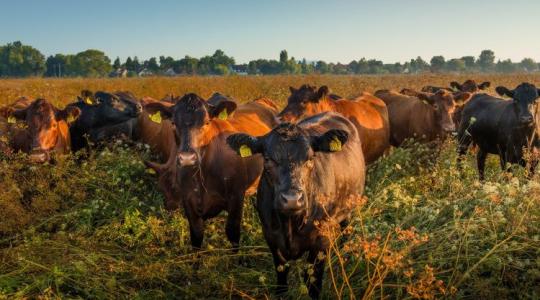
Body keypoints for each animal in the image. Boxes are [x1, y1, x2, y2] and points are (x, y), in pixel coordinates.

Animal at [143, 93, 278, 248]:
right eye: (173, 123)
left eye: (207, 122)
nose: (187, 158)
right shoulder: (189, 202)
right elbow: (196, 236)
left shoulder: (236, 197)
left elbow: (232, 233)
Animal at [226, 112, 364, 298]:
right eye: (268, 159)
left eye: (311, 158)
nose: (292, 199)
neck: (290, 225)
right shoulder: (271, 237)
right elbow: (282, 276)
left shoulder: (322, 239)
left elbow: (313, 282)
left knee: (346, 229)